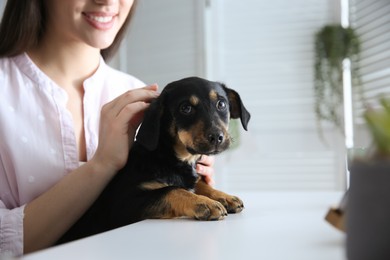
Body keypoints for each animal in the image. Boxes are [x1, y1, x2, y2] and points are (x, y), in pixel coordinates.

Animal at [56, 76, 251, 244]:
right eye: (185, 108)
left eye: (222, 104)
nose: (217, 137)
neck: (169, 157)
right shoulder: (124, 203)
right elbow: (171, 190)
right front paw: (204, 203)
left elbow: (199, 184)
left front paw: (224, 196)